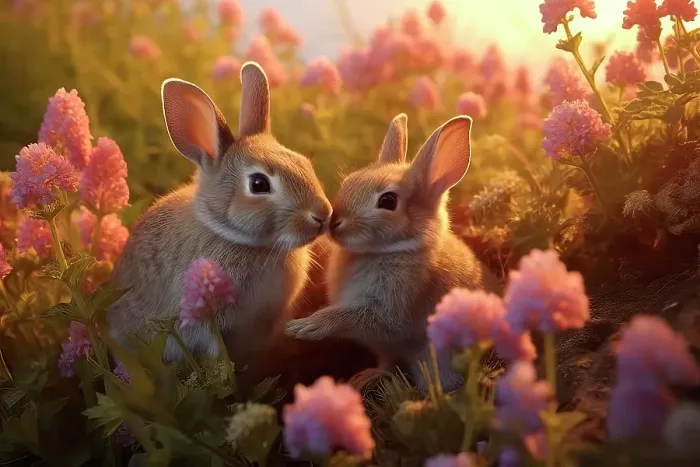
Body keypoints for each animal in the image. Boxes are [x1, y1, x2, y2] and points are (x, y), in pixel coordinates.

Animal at [284, 113, 500, 392]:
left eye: (388, 201)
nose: (334, 223)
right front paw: (364, 377)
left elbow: (350, 316)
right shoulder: (385, 345)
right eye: (349, 182)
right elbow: (387, 362)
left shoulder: (391, 310)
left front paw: (304, 327)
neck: (389, 250)